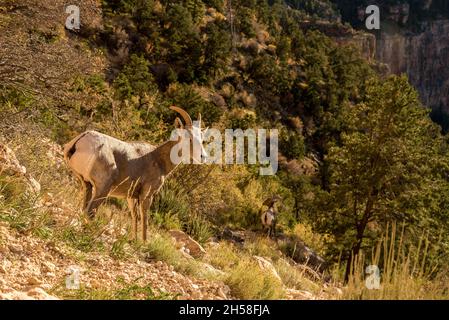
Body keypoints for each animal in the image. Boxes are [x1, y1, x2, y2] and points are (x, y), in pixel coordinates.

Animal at [62, 106, 203, 241]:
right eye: (189, 138)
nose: (202, 156)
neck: (158, 160)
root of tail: (82, 138)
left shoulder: (131, 197)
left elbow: (135, 216)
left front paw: (134, 240)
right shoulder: (146, 195)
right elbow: (144, 219)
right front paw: (144, 243)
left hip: (87, 185)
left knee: (85, 208)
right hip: (103, 189)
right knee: (90, 211)